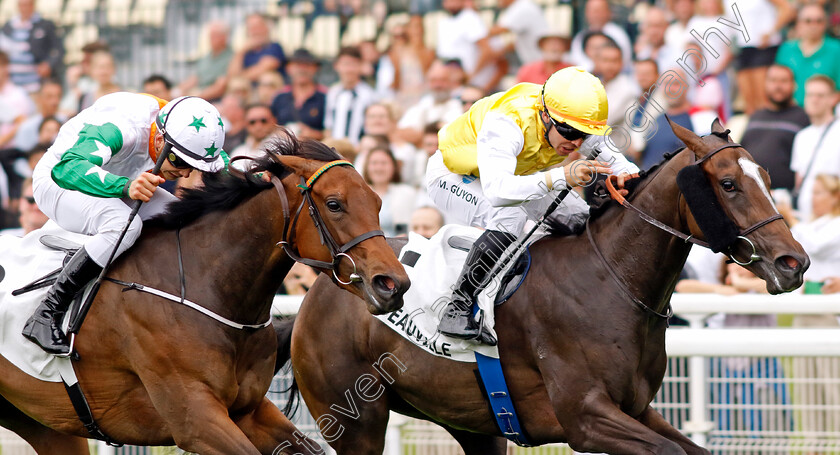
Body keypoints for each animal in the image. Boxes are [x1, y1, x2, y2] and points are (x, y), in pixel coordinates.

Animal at [0, 137, 410, 454]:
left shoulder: (249, 411)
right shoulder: (195, 419)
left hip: (44, 422)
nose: (392, 284)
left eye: (377, 202)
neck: (203, 285)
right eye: (335, 204)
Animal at [278, 119, 812, 454]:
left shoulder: (636, 408)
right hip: (356, 421)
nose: (794, 262)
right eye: (728, 184)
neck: (609, 278)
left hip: (471, 421)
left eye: (767, 177)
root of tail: (325, 283)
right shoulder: (586, 418)